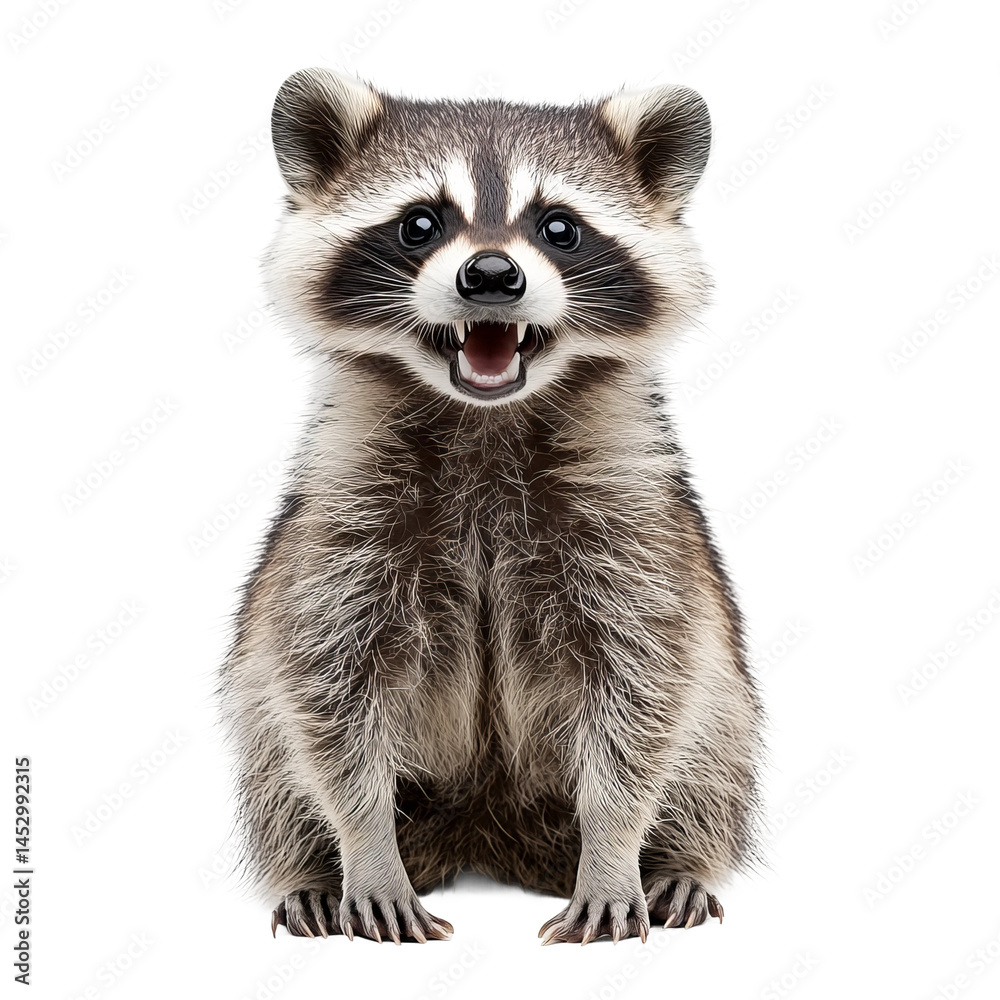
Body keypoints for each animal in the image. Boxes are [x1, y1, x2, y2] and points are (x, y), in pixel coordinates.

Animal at [219, 69, 764, 946]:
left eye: (559, 227)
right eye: (419, 223)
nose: (490, 276)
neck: (485, 420)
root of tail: (488, 838)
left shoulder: (635, 524)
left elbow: (645, 688)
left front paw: (616, 849)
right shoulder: (342, 516)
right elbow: (324, 686)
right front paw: (364, 848)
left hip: (726, 717)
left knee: (714, 745)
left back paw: (680, 859)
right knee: (272, 752)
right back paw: (309, 869)